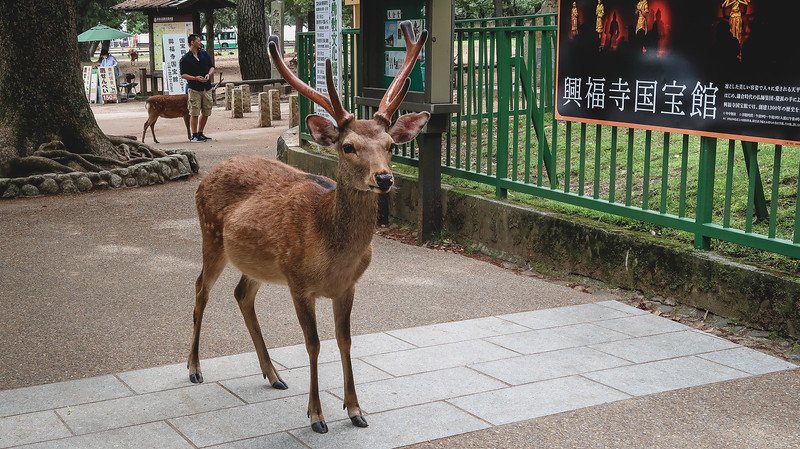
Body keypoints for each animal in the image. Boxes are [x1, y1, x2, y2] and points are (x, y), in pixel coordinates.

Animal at [187, 21, 429, 434]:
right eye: (348, 146)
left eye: (390, 145)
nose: (384, 178)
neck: (332, 251)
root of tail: (210, 173)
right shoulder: (299, 282)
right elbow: (313, 343)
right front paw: (316, 415)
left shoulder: (347, 285)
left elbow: (345, 341)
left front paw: (355, 410)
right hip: (211, 236)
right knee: (201, 287)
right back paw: (194, 368)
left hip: (258, 262)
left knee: (241, 294)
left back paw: (273, 375)